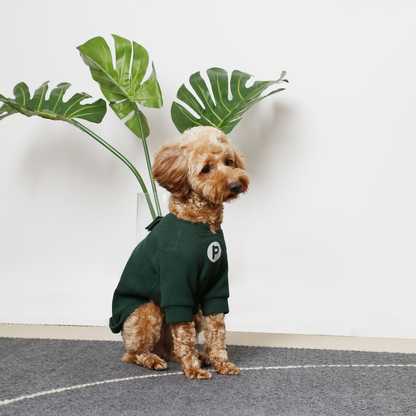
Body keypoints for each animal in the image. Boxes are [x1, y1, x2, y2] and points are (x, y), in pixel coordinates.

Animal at [109, 125, 249, 378]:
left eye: (229, 161)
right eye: (206, 169)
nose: (236, 185)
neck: (201, 225)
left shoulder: (216, 288)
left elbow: (217, 330)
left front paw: (221, 363)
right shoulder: (177, 286)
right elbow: (184, 335)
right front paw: (193, 370)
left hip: (196, 311)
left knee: (171, 346)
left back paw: (198, 356)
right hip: (148, 311)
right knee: (134, 353)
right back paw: (153, 360)